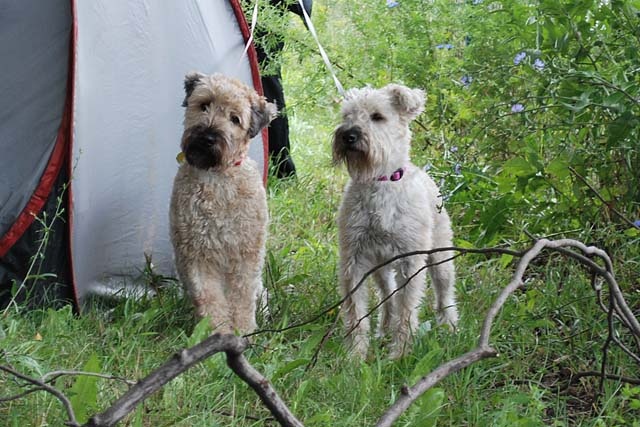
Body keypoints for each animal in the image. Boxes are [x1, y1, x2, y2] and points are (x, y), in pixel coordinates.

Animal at [170, 72, 278, 334]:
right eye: (204, 104)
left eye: (235, 119)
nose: (208, 137)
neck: (217, 178)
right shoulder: (197, 255)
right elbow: (210, 298)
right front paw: (217, 332)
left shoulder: (245, 256)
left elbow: (242, 299)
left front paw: (244, 332)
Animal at [332, 83, 458, 362]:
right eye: (347, 115)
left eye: (377, 116)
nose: (348, 135)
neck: (380, 183)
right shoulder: (354, 259)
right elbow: (356, 311)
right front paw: (355, 356)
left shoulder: (410, 261)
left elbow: (407, 309)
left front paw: (399, 355)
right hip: (381, 267)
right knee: (388, 297)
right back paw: (384, 331)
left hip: (440, 257)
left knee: (444, 293)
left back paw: (450, 327)